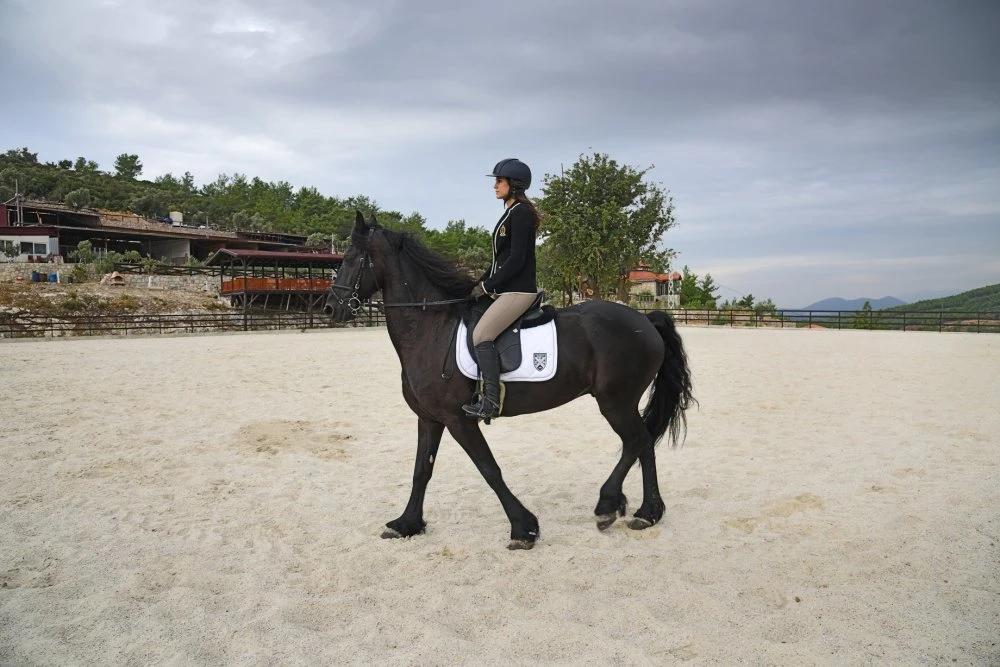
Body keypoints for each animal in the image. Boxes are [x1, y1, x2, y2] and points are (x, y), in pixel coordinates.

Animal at [325, 211, 693, 550]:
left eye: (350, 259)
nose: (330, 308)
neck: (431, 329)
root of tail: (645, 320)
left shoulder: (459, 420)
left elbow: (489, 469)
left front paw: (523, 528)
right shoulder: (429, 418)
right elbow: (421, 471)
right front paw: (406, 524)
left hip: (615, 401)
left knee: (637, 441)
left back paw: (615, 506)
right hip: (619, 402)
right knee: (643, 443)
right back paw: (643, 512)